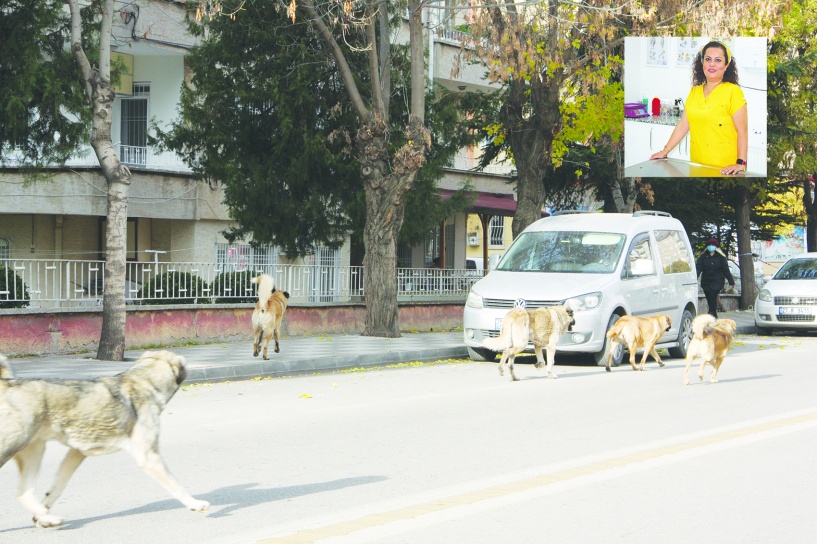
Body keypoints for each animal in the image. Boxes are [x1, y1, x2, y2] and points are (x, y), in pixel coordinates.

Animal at [0, 352, 209, 528]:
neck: (143, 380)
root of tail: (6, 384)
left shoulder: (76, 453)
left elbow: (58, 486)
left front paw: (41, 517)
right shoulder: (149, 457)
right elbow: (176, 486)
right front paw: (195, 503)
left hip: (34, 450)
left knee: (24, 494)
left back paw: (48, 518)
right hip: (12, 448)